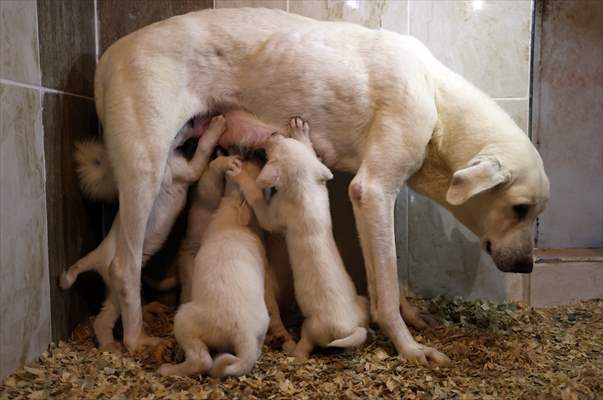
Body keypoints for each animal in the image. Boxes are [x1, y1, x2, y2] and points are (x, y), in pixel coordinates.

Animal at [61, 116, 226, 350]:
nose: (195, 121)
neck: (168, 155)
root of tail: (97, 255)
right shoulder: (187, 171)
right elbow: (203, 148)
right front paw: (217, 126)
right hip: (120, 288)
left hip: (112, 295)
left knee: (101, 321)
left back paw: (109, 346)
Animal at [158, 158, 268, 376]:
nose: (253, 156)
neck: (235, 215)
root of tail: (244, 333)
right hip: (262, 325)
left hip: (185, 319)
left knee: (202, 361)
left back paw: (168, 369)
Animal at [226, 117, 368, 358]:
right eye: (286, 140)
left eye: (273, 149)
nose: (273, 133)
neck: (305, 188)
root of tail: (345, 329)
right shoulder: (319, 183)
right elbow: (314, 159)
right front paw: (301, 131)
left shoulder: (274, 216)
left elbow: (257, 199)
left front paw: (241, 175)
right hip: (360, 304)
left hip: (311, 328)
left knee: (304, 348)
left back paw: (291, 349)